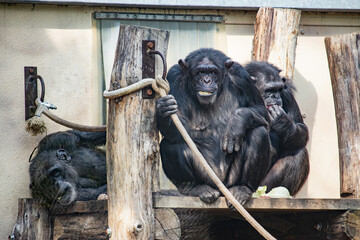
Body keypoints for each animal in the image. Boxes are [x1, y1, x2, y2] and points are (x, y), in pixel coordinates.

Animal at [156, 48, 272, 206]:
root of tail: (221, 189)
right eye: (200, 72)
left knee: (258, 132)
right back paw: (194, 188)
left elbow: (262, 112)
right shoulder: (173, 77)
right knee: (170, 144)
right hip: (207, 177)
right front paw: (163, 108)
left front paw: (236, 124)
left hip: (230, 180)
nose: (206, 81)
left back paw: (243, 189)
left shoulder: (242, 77)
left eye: (212, 72)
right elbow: (177, 128)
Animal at [245, 61, 310, 195]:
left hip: (264, 184)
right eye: (269, 89)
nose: (275, 96)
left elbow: (302, 128)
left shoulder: (287, 95)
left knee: (299, 153)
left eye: (278, 89)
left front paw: (283, 122)